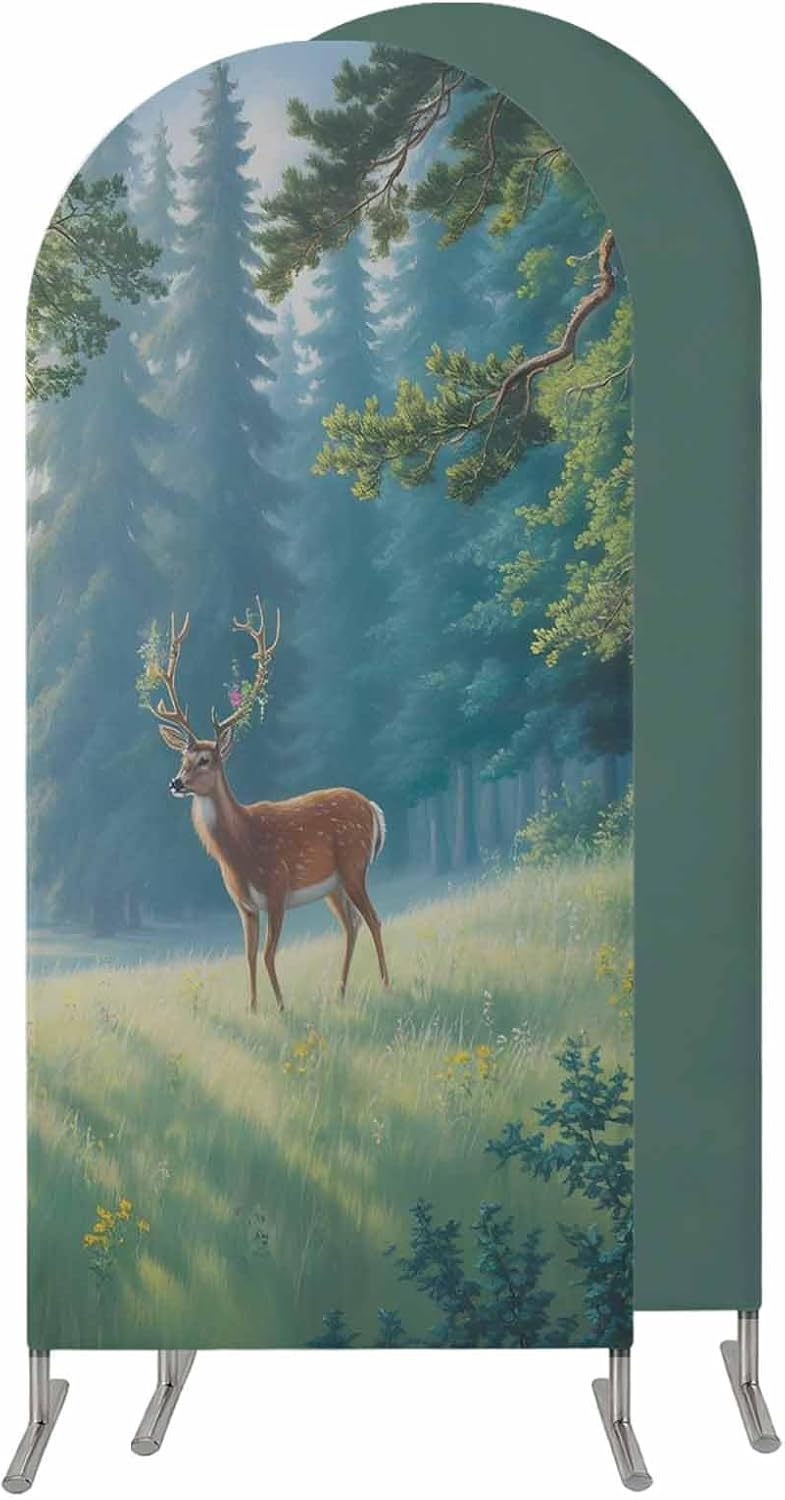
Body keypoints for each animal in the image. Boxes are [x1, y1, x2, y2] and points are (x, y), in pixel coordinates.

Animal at [144, 601, 389, 1013]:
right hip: (334, 885)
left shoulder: (276, 888)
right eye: (182, 757)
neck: (240, 850)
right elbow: (248, 955)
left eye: (206, 759)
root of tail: (373, 809)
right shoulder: (244, 905)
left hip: (355, 865)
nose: (175, 783)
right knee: (352, 924)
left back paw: (387, 984)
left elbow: (269, 955)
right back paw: (340, 992)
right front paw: (254, 1007)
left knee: (373, 919)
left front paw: (281, 1007)